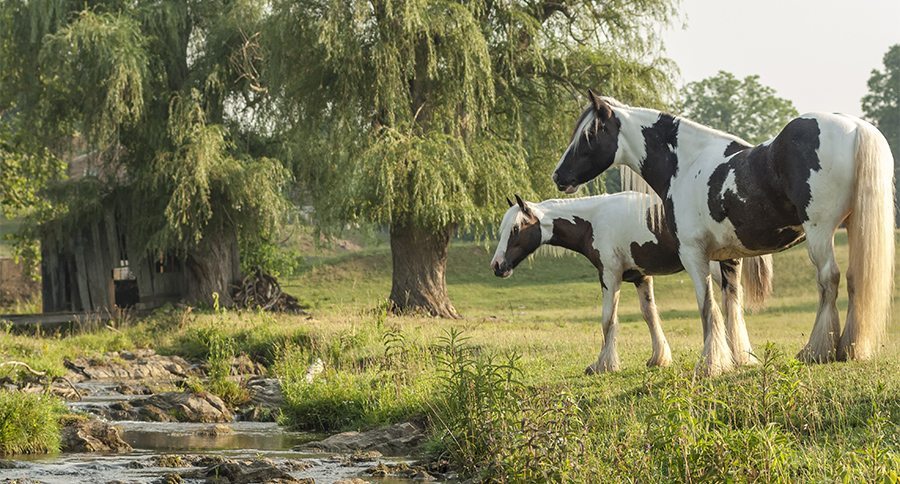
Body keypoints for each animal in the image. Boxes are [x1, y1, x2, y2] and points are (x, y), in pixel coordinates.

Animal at [490, 192, 773, 374]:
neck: (594, 221)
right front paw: (658, 358)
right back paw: (738, 356)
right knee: (732, 306)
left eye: (515, 229)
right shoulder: (641, 277)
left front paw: (603, 365)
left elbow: (608, 320)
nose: (497, 266)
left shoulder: (609, 275)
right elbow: (649, 315)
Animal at [552, 90, 894, 375]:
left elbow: (708, 307)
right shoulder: (729, 257)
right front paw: (739, 358)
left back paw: (816, 350)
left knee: (829, 280)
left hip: (820, 231)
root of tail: (855, 128)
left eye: (590, 134)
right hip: (853, 228)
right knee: (854, 278)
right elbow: (732, 306)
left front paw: (709, 364)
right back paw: (849, 347)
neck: (686, 165)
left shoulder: (694, 255)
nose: (559, 176)